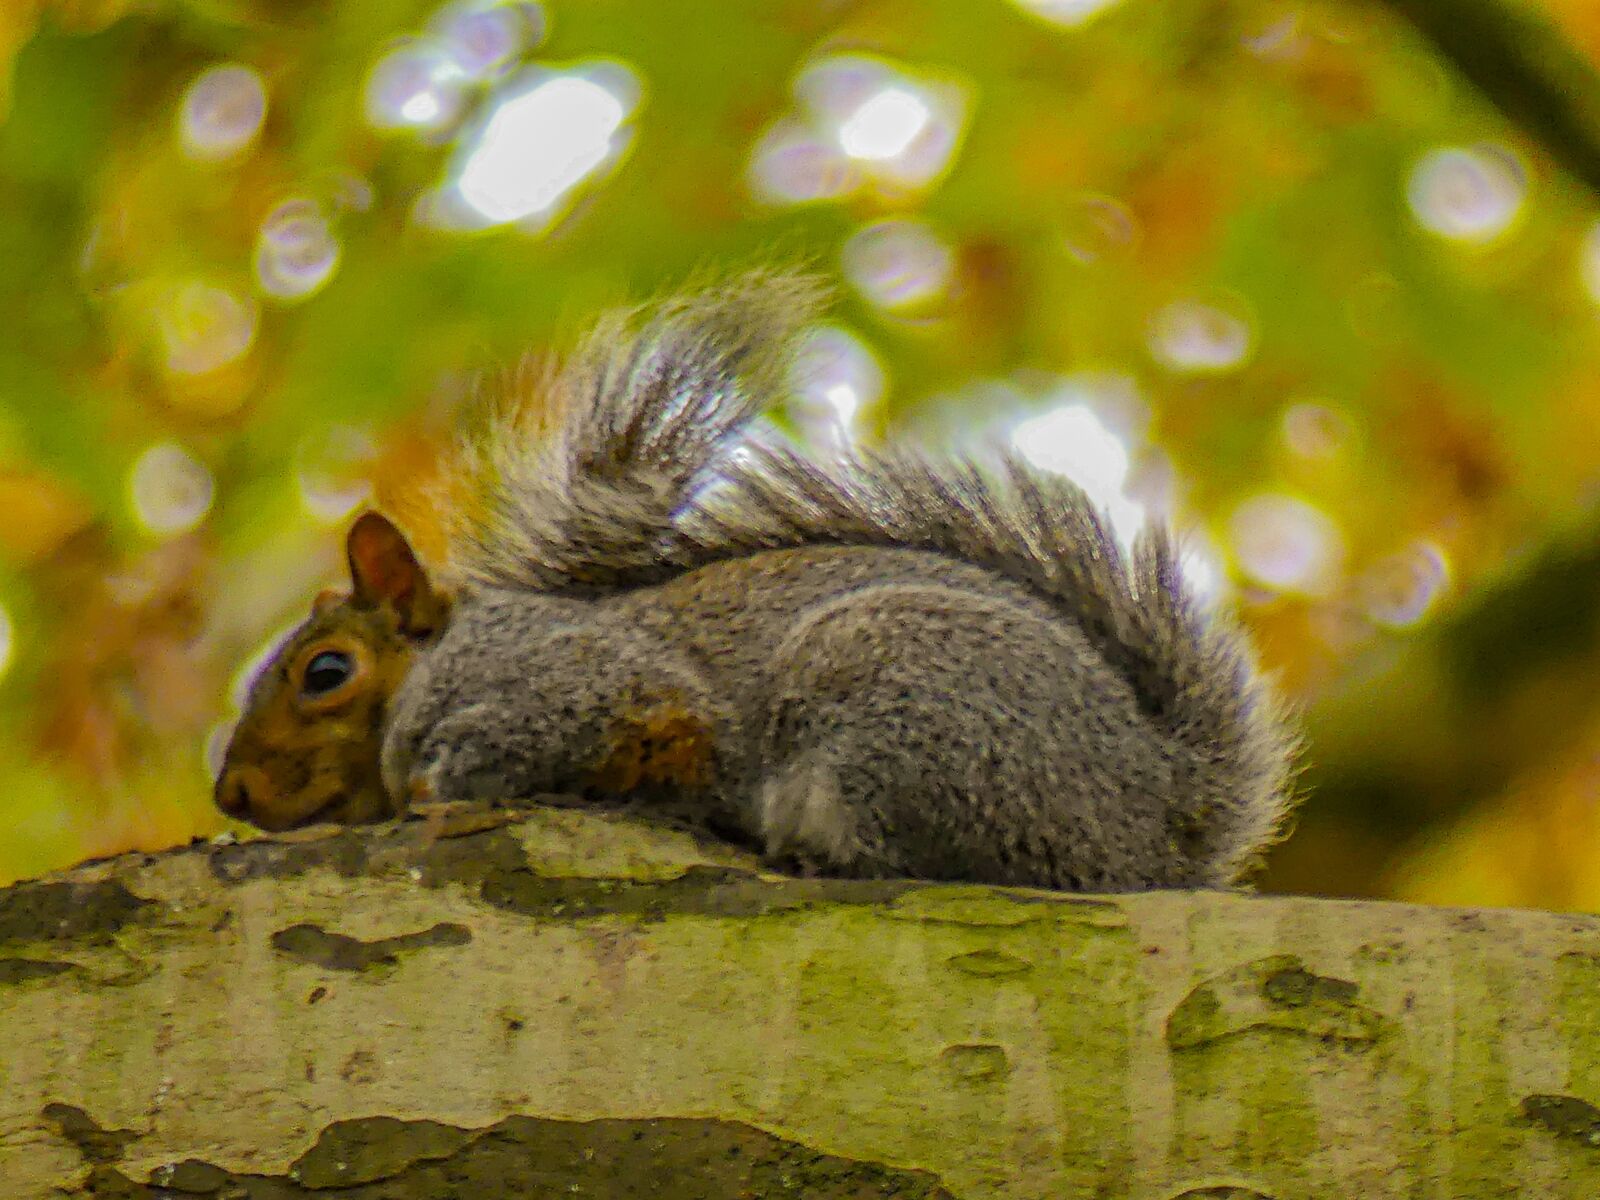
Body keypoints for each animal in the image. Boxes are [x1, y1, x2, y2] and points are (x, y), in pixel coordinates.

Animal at [214, 269, 1297, 892]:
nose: (229, 794)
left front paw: (455, 776)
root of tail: (1154, 843)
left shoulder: (585, 681)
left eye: (324, 673)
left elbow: (585, 721)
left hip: (897, 702)